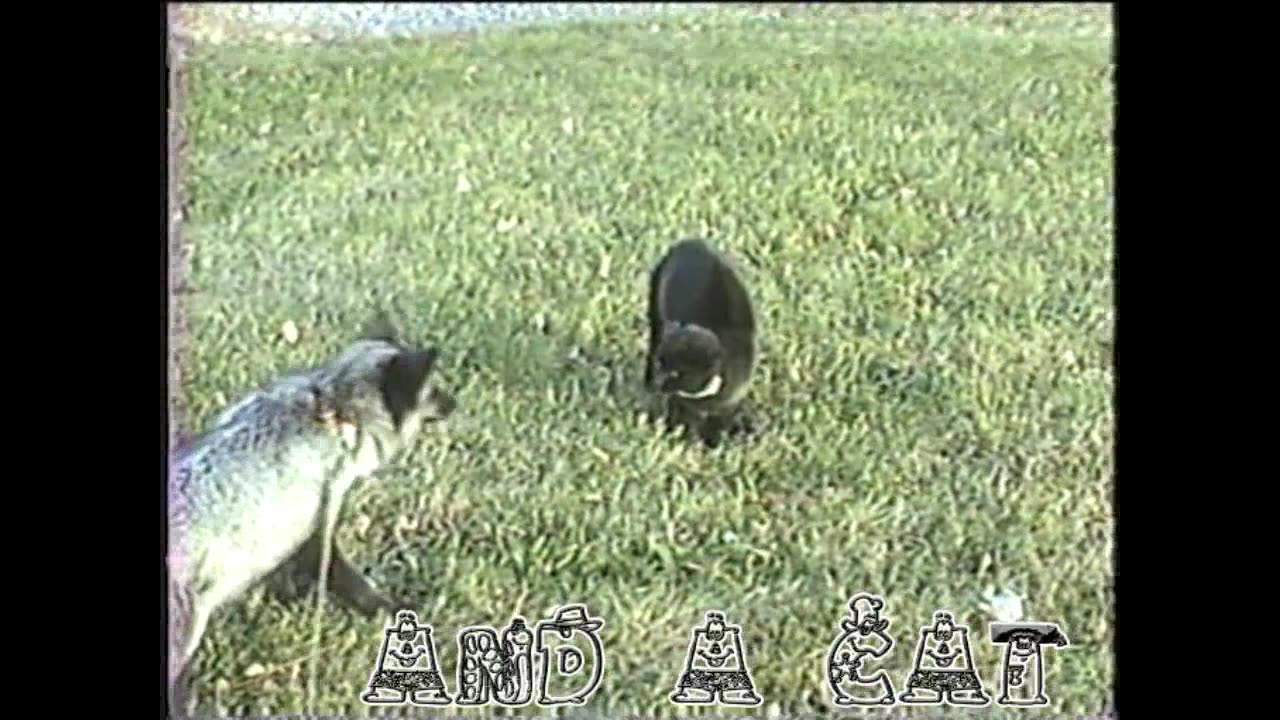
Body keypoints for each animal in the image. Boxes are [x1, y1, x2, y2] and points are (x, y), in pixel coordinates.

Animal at [166, 315, 457, 718]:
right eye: (431, 389)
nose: (456, 402)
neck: (334, 407)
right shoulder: (319, 525)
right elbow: (348, 582)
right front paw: (391, 611)